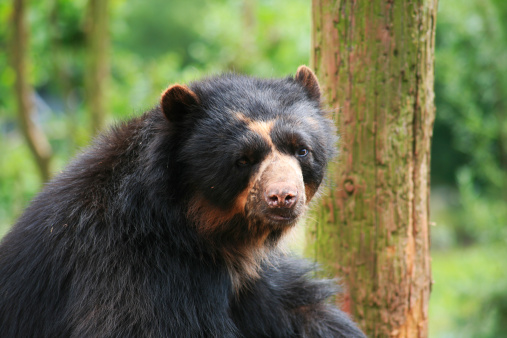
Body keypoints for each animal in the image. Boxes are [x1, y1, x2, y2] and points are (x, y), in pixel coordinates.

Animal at [0, 64, 366, 336]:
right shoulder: (134, 274)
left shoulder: (250, 281)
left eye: (301, 150)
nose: (283, 198)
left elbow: (299, 309)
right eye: (243, 160)